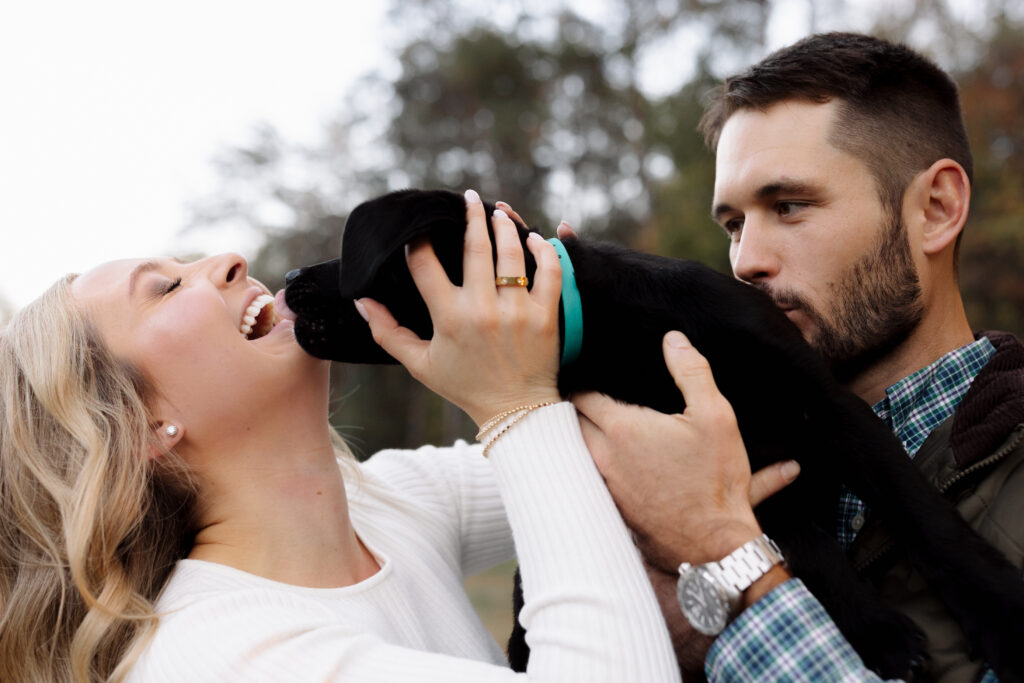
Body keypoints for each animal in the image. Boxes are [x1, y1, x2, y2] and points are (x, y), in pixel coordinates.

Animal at [286, 188, 1024, 683]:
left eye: (347, 255)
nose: (291, 277)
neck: (609, 335)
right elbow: (804, 542)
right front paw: (879, 631)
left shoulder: (827, 407)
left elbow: (924, 515)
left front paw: (999, 611)